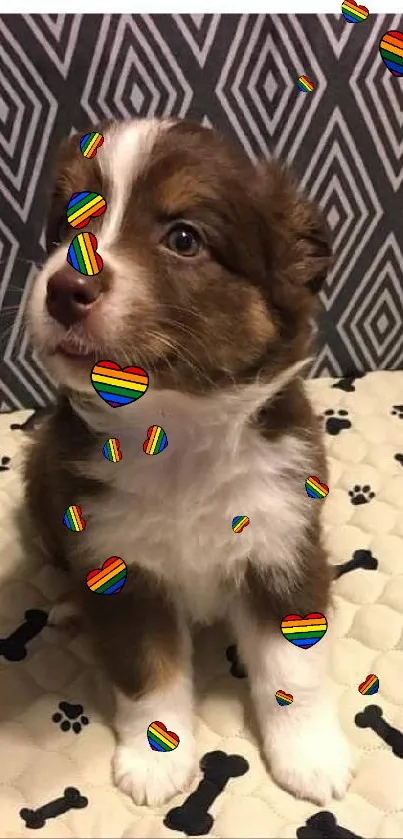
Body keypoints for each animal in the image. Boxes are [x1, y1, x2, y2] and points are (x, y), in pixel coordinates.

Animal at [24, 118, 354, 808]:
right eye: (68, 226)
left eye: (183, 238)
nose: (64, 286)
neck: (174, 434)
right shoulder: (119, 566)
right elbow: (148, 670)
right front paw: (156, 760)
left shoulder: (283, 542)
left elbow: (294, 672)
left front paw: (310, 756)